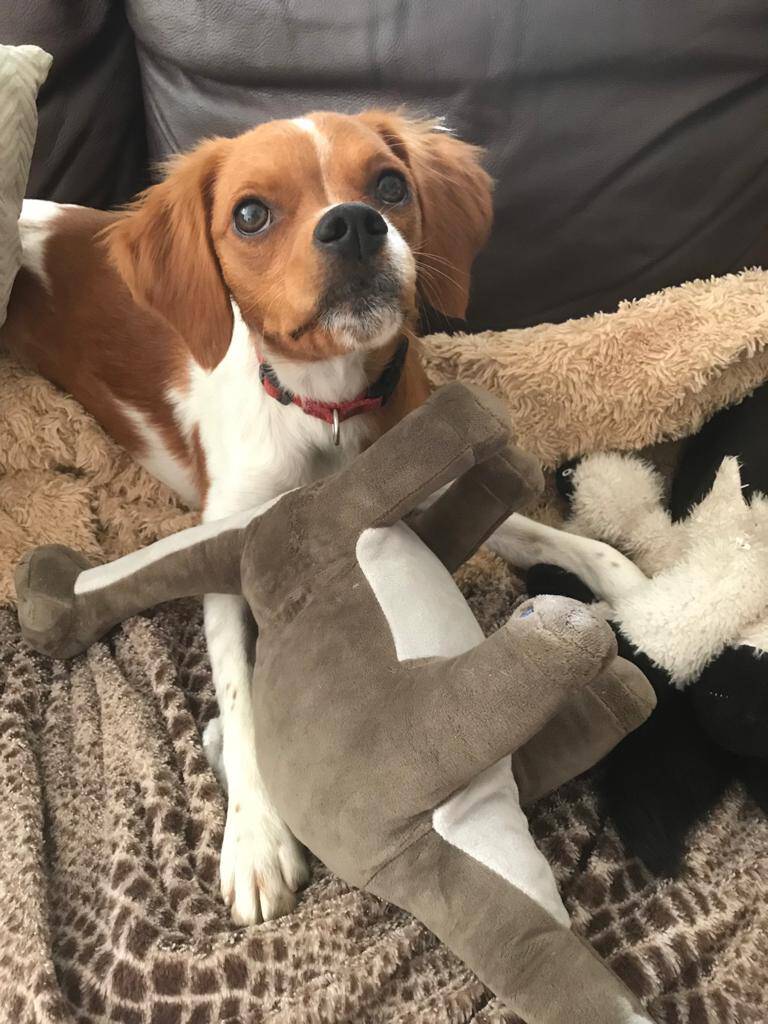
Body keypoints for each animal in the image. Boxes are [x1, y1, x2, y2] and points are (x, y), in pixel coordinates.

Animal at [2, 110, 493, 924]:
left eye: (390, 185)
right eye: (251, 214)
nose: (353, 224)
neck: (325, 408)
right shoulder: (227, 551)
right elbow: (239, 696)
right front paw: (256, 840)